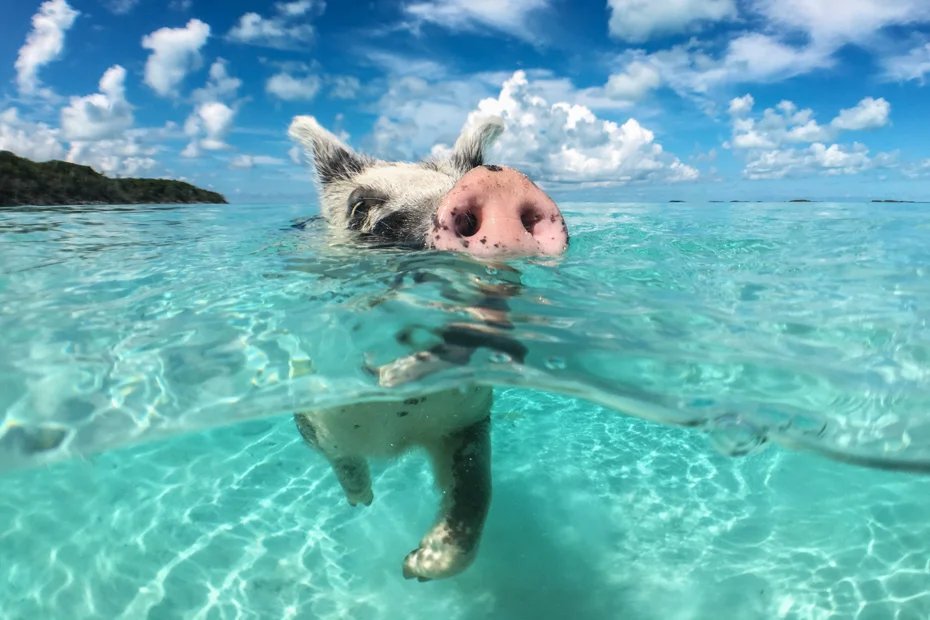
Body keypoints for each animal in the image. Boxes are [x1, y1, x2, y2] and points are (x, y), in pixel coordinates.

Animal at [287, 114, 569, 582]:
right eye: (359, 207)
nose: (499, 181)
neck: (394, 428)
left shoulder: (469, 420)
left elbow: (477, 489)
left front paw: (414, 566)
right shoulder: (312, 412)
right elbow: (341, 458)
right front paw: (362, 501)